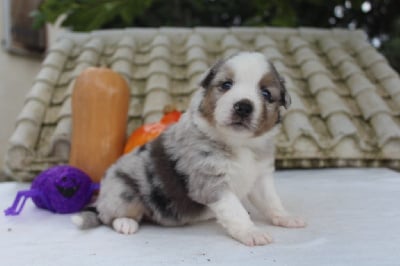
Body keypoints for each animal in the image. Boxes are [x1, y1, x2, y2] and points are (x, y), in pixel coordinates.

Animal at [72, 51, 306, 246]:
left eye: (266, 94)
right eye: (226, 85)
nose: (243, 107)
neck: (240, 143)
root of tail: (101, 199)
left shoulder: (260, 176)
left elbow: (271, 200)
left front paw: (285, 217)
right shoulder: (211, 181)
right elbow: (235, 210)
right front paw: (252, 232)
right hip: (123, 192)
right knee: (109, 216)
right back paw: (125, 223)